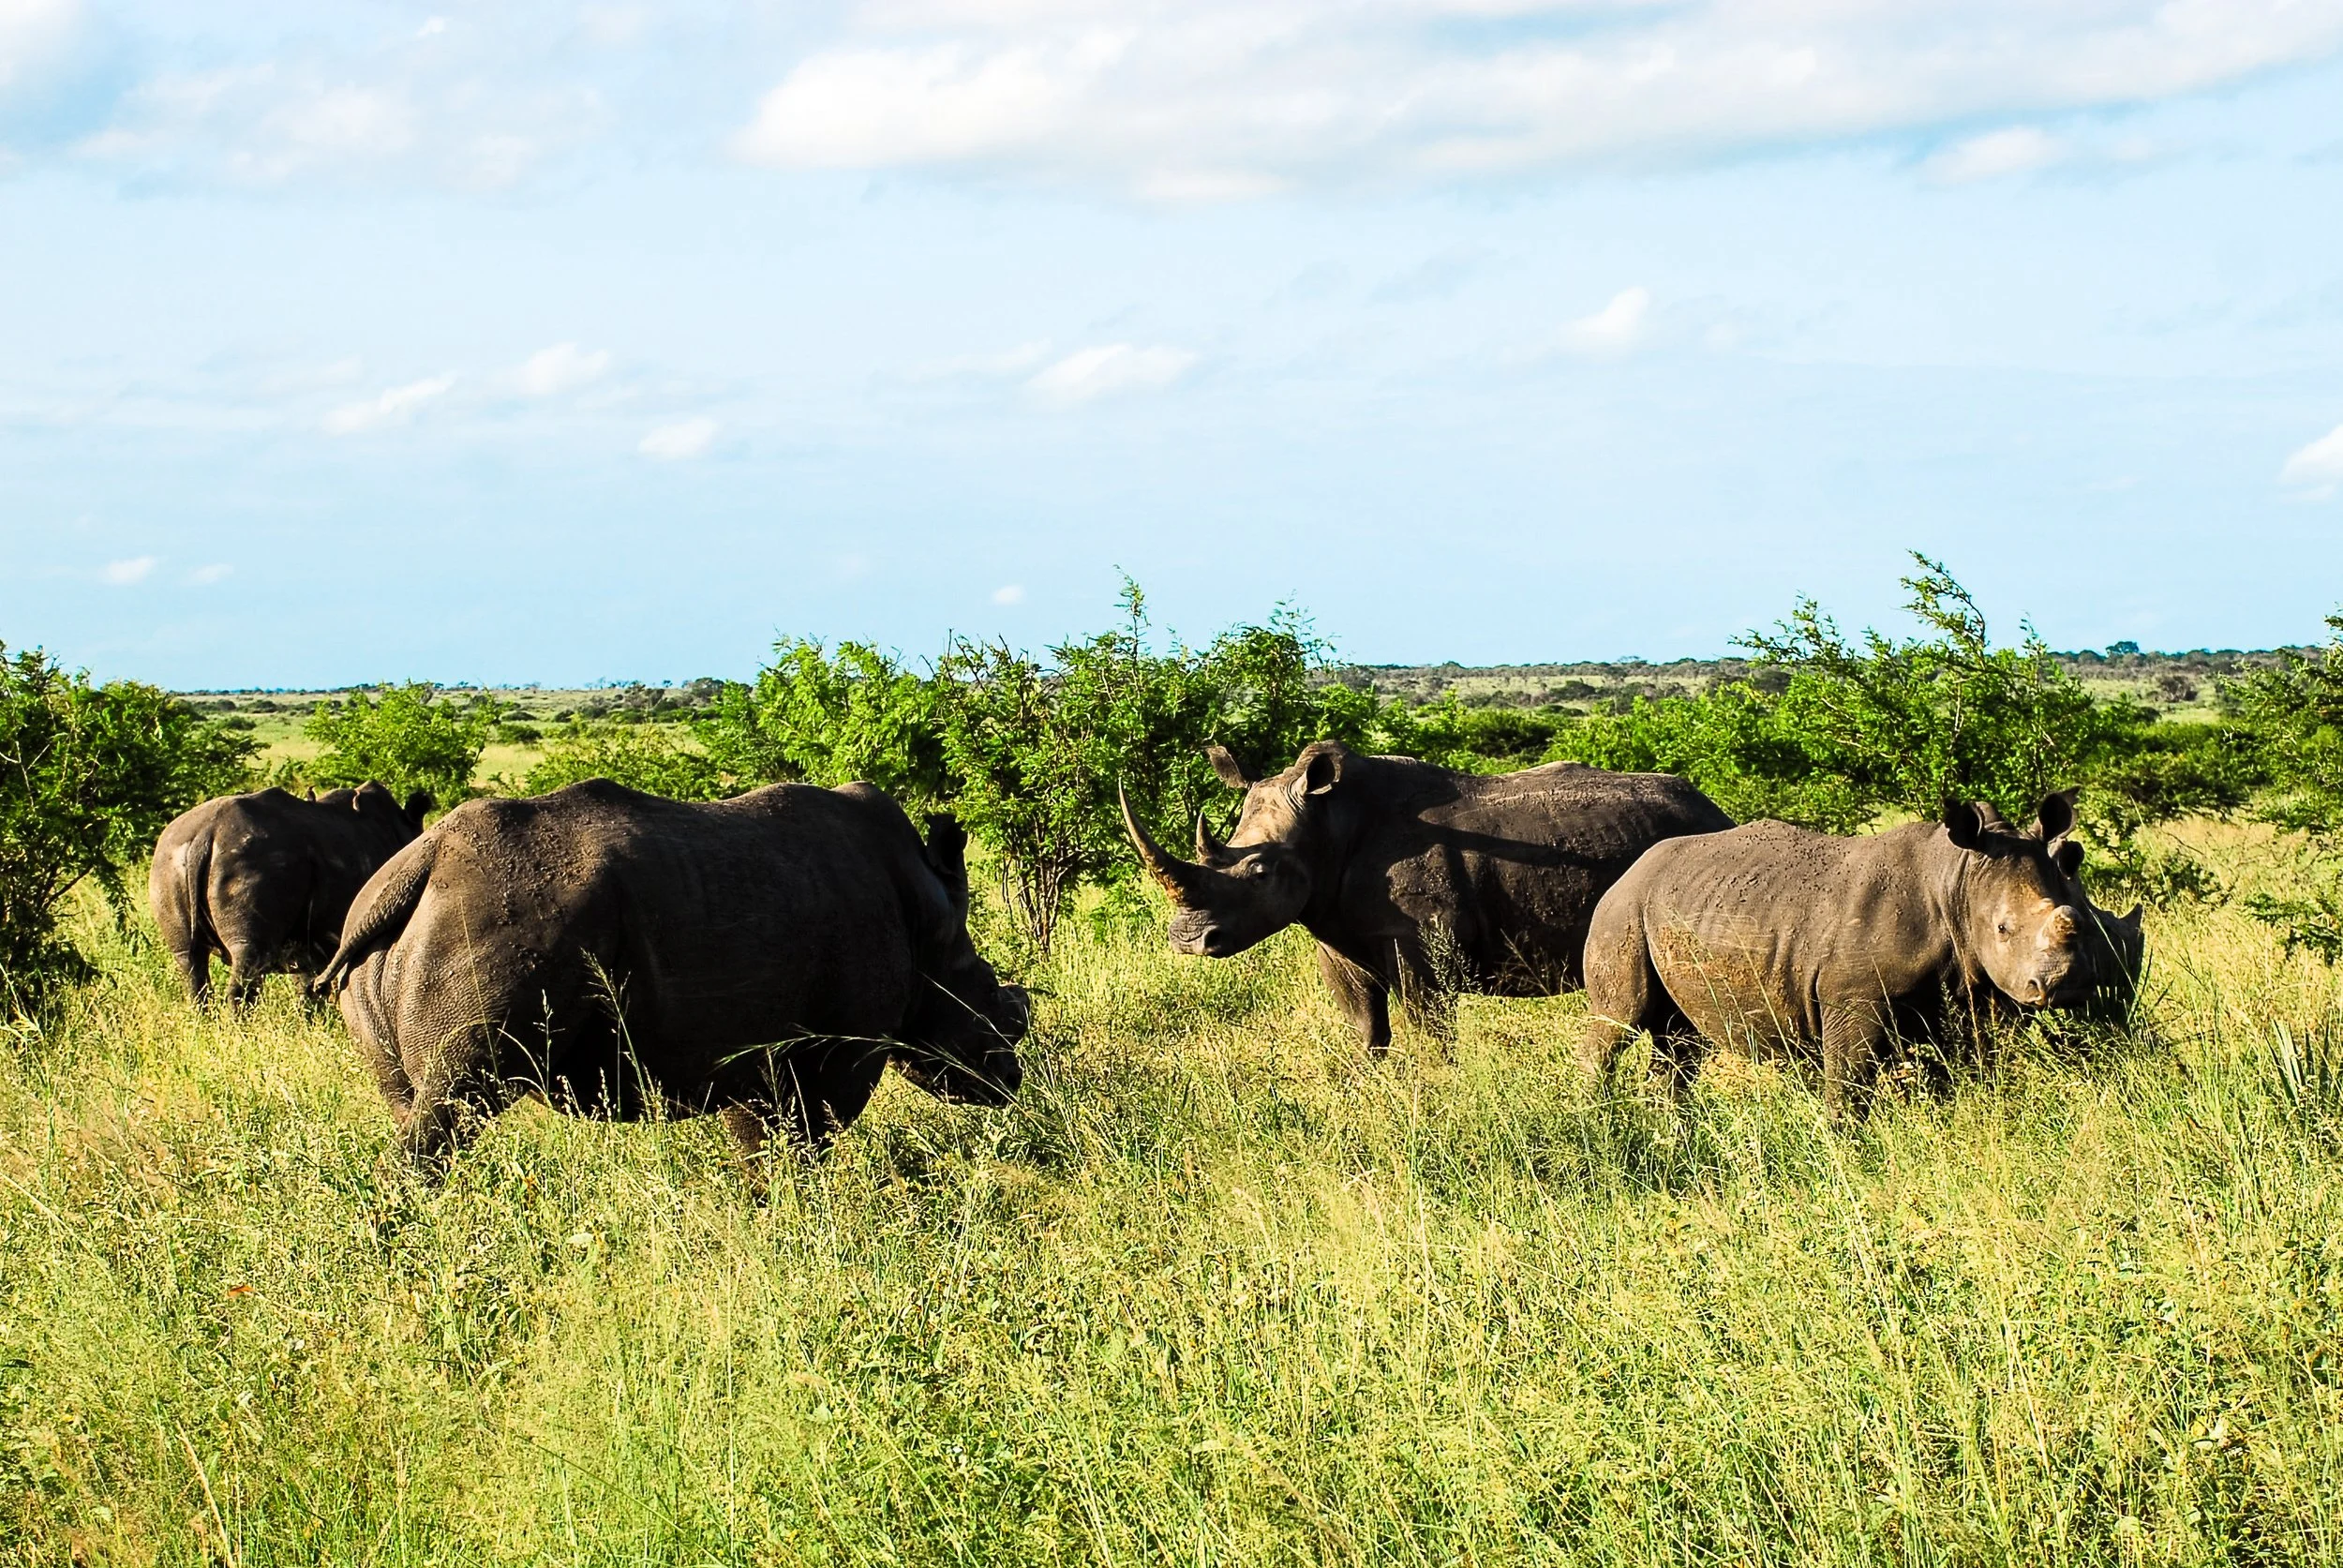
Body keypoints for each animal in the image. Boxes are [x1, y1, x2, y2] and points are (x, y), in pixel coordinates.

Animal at [149, 783, 433, 1007]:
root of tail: (206, 833)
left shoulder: (305, 941)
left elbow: (306, 986)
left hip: (167, 860)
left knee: (189, 960)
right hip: (254, 862)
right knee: (248, 956)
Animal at [315, 779, 1027, 1169]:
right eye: (998, 1004)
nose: (1012, 1080)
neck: (931, 923)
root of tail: (424, 861)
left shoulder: (757, 1053)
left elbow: (759, 1144)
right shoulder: (837, 1051)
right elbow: (807, 1139)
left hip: (403, 939)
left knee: (411, 1101)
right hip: (496, 923)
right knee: (453, 1107)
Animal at [1121, 741, 1735, 1051]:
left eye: (1260, 872)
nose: (1188, 941)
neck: (1326, 826)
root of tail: (1715, 811)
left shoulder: (1422, 950)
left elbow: (1430, 1035)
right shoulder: (1335, 935)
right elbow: (1365, 1029)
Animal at [1577, 793, 2097, 1116]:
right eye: (2003, 929)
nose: (2059, 985)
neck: (1957, 879)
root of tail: (1631, 869)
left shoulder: (1967, 991)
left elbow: (1957, 1076)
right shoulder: (1854, 996)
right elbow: (1848, 1084)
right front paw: (1850, 1151)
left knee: (1681, 1039)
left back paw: (1670, 1125)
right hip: (1621, 912)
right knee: (1620, 1017)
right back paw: (1598, 1115)